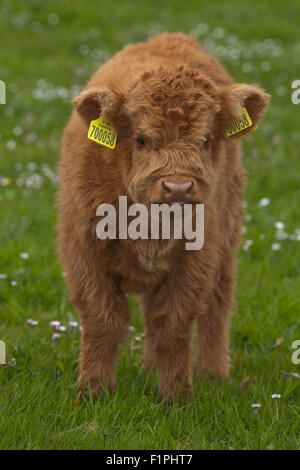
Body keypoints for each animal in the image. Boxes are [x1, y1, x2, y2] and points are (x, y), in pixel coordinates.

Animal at [56, 32, 270, 400]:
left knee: (218, 302)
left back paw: (213, 372)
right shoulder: (84, 253)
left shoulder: (195, 258)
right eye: (141, 139)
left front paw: (176, 397)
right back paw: (148, 367)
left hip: (226, 237)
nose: (179, 187)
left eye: (206, 139)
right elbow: (102, 321)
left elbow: (173, 324)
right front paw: (94, 393)